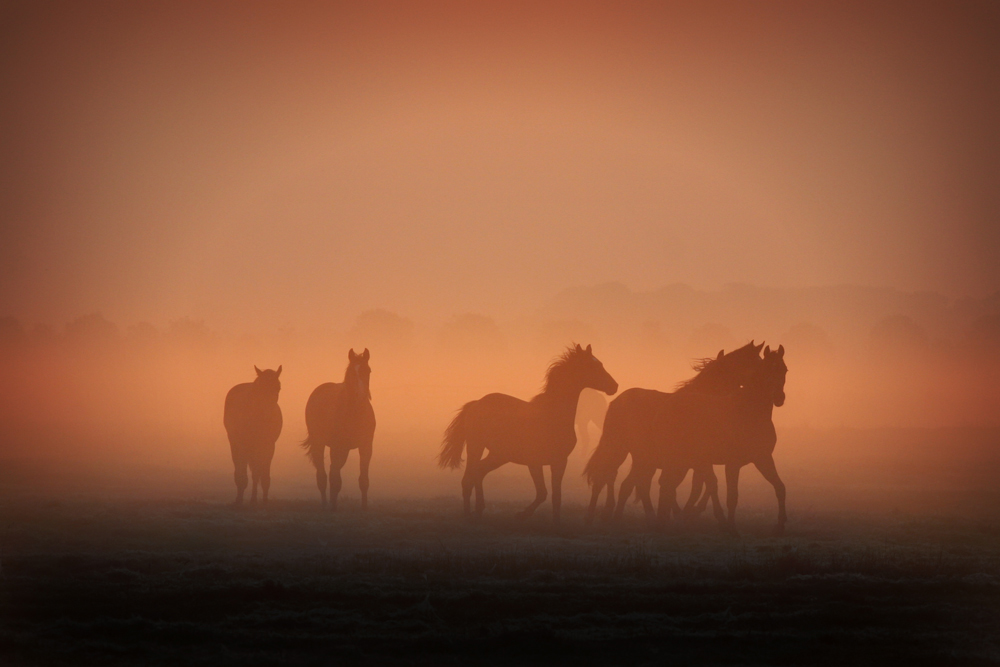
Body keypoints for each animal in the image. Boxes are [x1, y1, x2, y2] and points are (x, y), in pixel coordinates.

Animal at [225, 366, 284, 506]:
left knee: (256, 472)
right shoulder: (240, 445)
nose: (268, 415)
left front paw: (263, 500)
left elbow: (263, 474)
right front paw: (239, 500)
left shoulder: (269, 446)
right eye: (260, 388)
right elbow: (241, 473)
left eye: (278, 388)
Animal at [302, 350, 376, 512]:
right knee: (323, 475)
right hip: (320, 444)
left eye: (368, 370)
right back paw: (326, 504)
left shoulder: (366, 447)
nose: (361, 395)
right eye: (351, 372)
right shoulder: (338, 447)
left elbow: (364, 480)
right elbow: (335, 479)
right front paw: (333, 507)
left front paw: (364, 508)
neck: (354, 413)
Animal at [438, 348, 616, 524]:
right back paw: (469, 515)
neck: (552, 416)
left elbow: (555, 496)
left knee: (478, 472)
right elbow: (544, 493)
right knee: (468, 478)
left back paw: (477, 511)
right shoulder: (536, 462)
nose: (614, 386)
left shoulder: (558, 462)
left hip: (499, 455)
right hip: (476, 447)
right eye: (592, 366)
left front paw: (549, 520)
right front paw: (522, 515)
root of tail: (476, 404)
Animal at [584, 344, 760, 528]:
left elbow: (697, 486)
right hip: (620, 449)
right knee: (606, 476)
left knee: (626, 482)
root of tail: (616, 402)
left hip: (639, 457)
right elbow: (698, 485)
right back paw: (595, 516)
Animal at [616, 348, 788, 536]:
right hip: (655, 459)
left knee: (655, 485)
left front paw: (780, 526)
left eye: (784, 369)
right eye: (764, 368)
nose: (779, 398)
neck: (749, 414)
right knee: (648, 485)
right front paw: (728, 527)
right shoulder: (730, 463)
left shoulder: (762, 458)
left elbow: (780, 487)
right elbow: (727, 494)